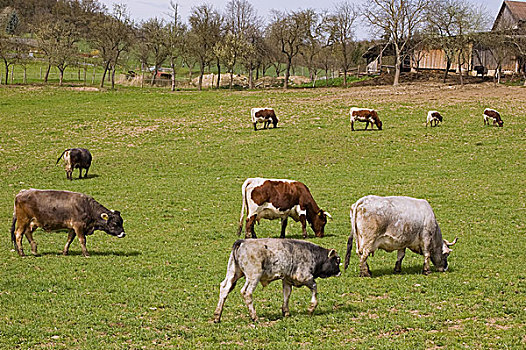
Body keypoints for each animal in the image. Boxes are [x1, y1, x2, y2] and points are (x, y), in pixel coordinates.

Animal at [214, 238, 342, 322]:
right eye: (337, 260)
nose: (339, 272)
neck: (312, 254)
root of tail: (242, 242)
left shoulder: (287, 280)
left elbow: (286, 294)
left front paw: (286, 312)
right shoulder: (305, 277)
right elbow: (315, 288)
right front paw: (311, 308)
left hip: (233, 273)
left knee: (224, 288)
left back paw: (217, 316)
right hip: (253, 276)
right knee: (246, 292)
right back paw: (254, 317)